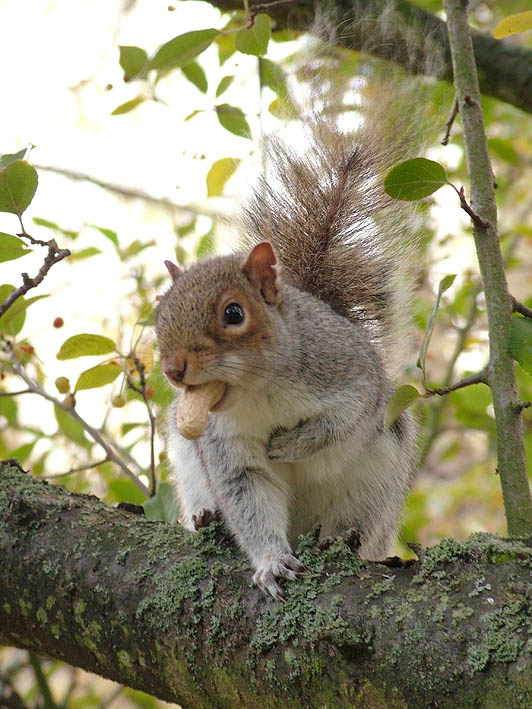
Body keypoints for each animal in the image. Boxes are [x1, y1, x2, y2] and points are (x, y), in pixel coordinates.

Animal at [155, 10, 434, 599]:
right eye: (158, 317)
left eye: (234, 313)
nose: (174, 369)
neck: (256, 393)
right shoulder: (225, 449)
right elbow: (251, 499)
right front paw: (270, 562)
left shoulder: (346, 372)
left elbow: (345, 418)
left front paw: (292, 444)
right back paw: (207, 518)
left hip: (379, 478)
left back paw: (342, 538)